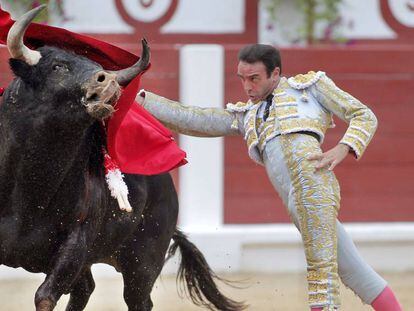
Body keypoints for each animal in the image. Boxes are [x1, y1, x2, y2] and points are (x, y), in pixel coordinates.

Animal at [0, 5, 246, 311]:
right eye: (57, 66)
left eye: (93, 64)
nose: (108, 80)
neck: (31, 187)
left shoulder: (74, 246)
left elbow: (44, 297)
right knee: (86, 288)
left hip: (142, 262)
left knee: (135, 299)